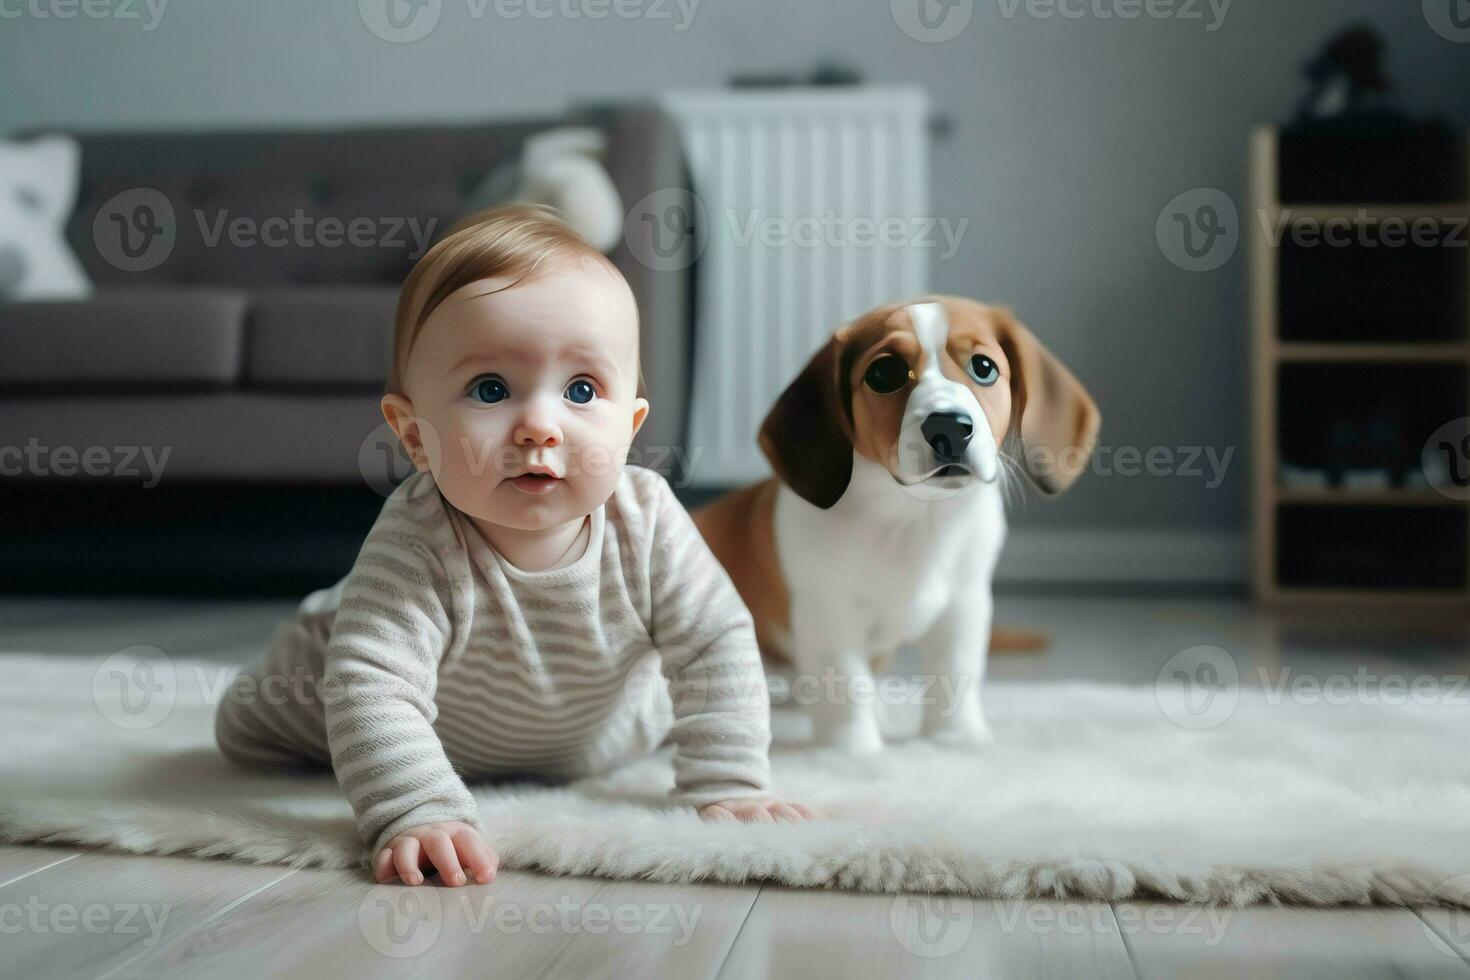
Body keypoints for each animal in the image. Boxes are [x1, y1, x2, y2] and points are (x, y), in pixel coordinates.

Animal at [693, 295, 1099, 758]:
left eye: (984, 367)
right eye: (883, 373)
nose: (949, 427)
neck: (912, 520)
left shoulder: (964, 607)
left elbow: (955, 675)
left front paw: (955, 739)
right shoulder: (829, 619)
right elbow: (847, 690)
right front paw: (855, 755)